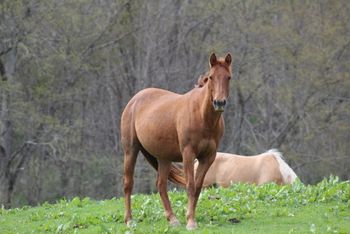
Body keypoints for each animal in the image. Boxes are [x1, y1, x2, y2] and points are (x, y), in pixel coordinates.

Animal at [120, 53, 232, 230]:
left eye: (228, 77)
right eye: (211, 77)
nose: (219, 102)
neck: (202, 116)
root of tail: (135, 100)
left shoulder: (208, 157)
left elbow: (198, 186)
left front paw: (190, 217)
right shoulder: (188, 154)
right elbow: (190, 185)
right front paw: (191, 222)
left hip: (164, 158)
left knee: (161, 185)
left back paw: (172, 219)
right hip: (130, 150)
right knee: (128, 184)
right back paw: (129, 220)